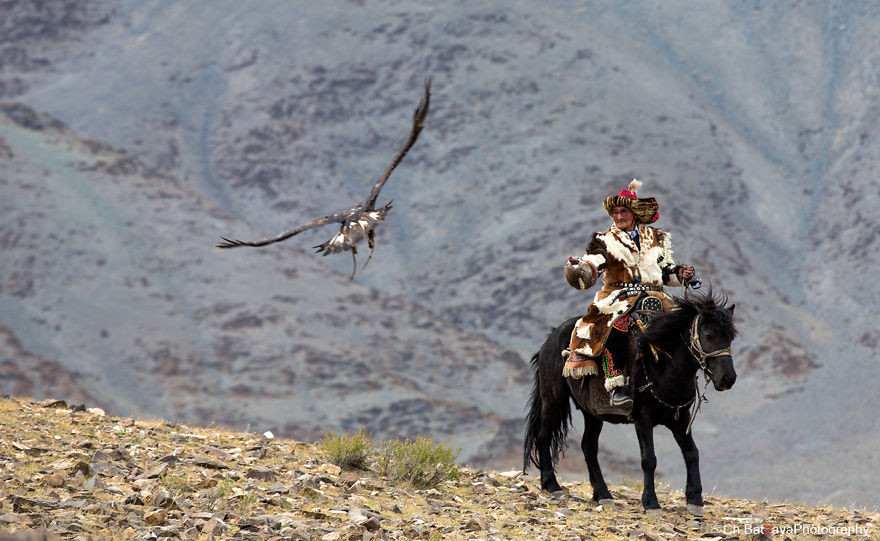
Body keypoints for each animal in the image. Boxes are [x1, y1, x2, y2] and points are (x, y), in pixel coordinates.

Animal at [524, 292, 740, 516]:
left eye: (730, 337)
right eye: (709, 335)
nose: (727, 379)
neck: (662, 365)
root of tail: (551, 337)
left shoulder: (679, 419)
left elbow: (692, 453)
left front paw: (695, 500)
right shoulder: (642, 419)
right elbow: (649, 459)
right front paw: (651, 503)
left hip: (592, 413)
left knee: (588, 447)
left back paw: (603, 494)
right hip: (553, 399)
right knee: (543, 435)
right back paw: (552, 485)